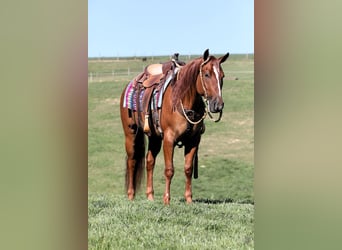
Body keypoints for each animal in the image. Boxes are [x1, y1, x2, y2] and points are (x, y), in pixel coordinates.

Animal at [119, 47, 228, 204]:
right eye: (206, 74)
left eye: (222, 76)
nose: (217, 105)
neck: (182, 100)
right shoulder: (169, 139)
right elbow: (169, 170)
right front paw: (166, 200)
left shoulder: (193, 140)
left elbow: (188, 169)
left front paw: (189, 199)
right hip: (131, 134)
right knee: (132, 161)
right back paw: (131, 196)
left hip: (154, 138)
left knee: (149, 161)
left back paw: (150, 196)